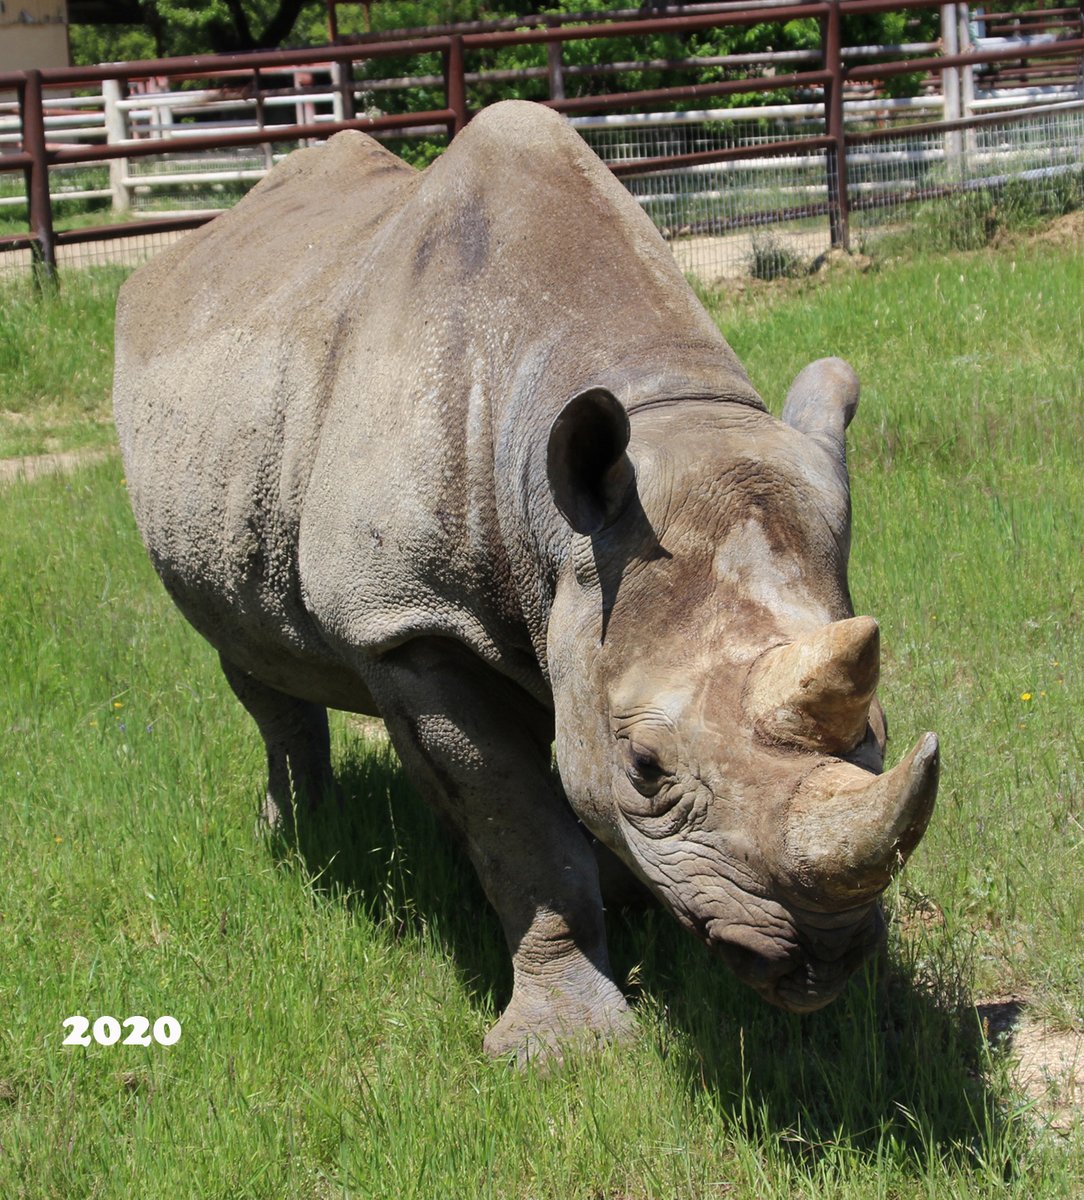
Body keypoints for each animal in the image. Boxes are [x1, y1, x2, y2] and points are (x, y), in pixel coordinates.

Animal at [114, 100, 938, 1061]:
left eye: (879, 730)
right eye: (647, 766)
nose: (823, 958)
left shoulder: (563, 605)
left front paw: (626, 903)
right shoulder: (410, 621)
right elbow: (520, 824)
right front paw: (568, 1047)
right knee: (251, 656)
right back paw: (305, 837)